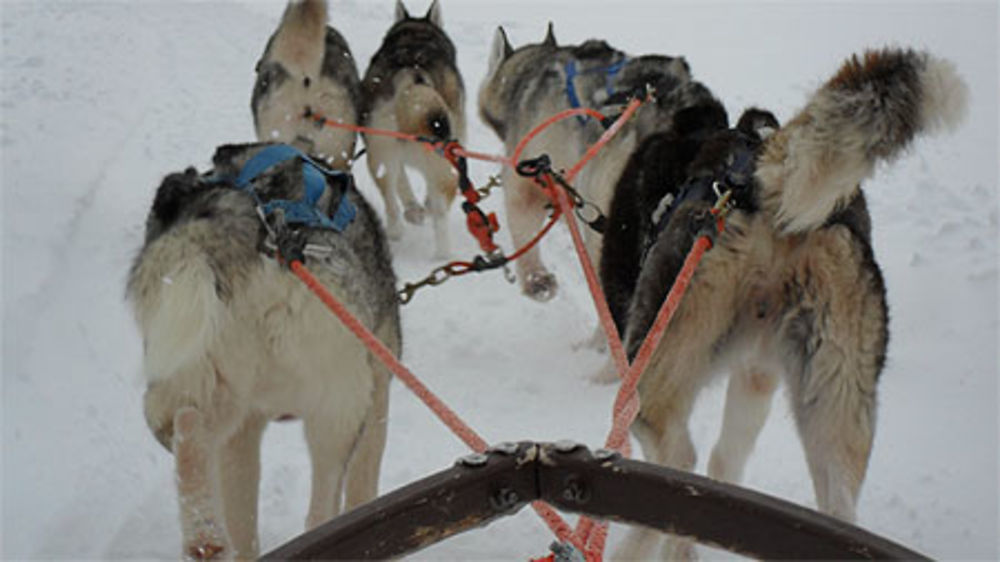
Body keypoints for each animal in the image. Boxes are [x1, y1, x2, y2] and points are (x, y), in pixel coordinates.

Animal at [127, 141, 400, 556]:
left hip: (208, 383)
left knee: (185, 428)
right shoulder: (378, 385)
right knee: (324, 504)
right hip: (337, 409)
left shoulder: (248, 427)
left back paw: (206, 537)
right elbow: (363, 483)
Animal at [362, 0, 466, 256]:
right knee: (435, 210)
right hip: (445, 160)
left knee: (391, 197)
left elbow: (402, 183)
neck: (415, 36)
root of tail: (412, 73)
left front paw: (415, 210)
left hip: (380, 152)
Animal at [596, 47, 964, 556]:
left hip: (649, 375)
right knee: (838, 509)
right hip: (833, 398)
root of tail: (765, 192)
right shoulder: (758, 374)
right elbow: (727, 458)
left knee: (678, 466)